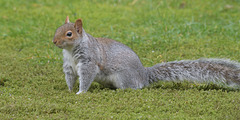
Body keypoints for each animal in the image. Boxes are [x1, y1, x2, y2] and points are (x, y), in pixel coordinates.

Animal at [53, 16, 240, 94]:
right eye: (57, 29)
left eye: (69, 34)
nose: (54, 41)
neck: (71, 50)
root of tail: (144, 74)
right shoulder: (68, 65)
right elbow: (70, 77)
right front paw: (70, 90)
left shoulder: (89, 61)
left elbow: (86, 77)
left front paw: (81, 92)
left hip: (124, 77)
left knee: (135, 87)